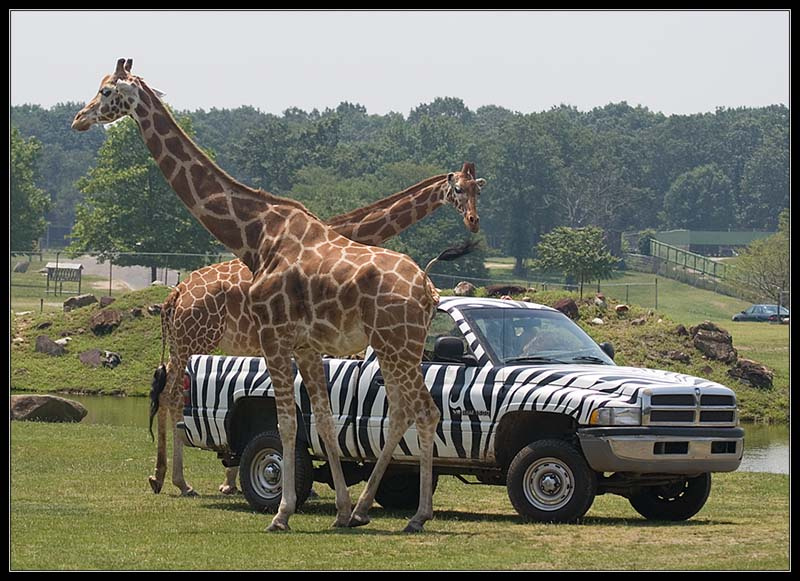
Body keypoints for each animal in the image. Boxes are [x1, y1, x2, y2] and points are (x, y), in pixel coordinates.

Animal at [148, 169, 484, 498]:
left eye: (477, 190)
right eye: (458, 190)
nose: (473, 220)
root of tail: (175, 294)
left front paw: (235, 483)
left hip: (188, 341)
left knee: (169, 392)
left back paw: (168, 478)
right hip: (193, 339)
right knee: (171, 394)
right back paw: (174, 480)